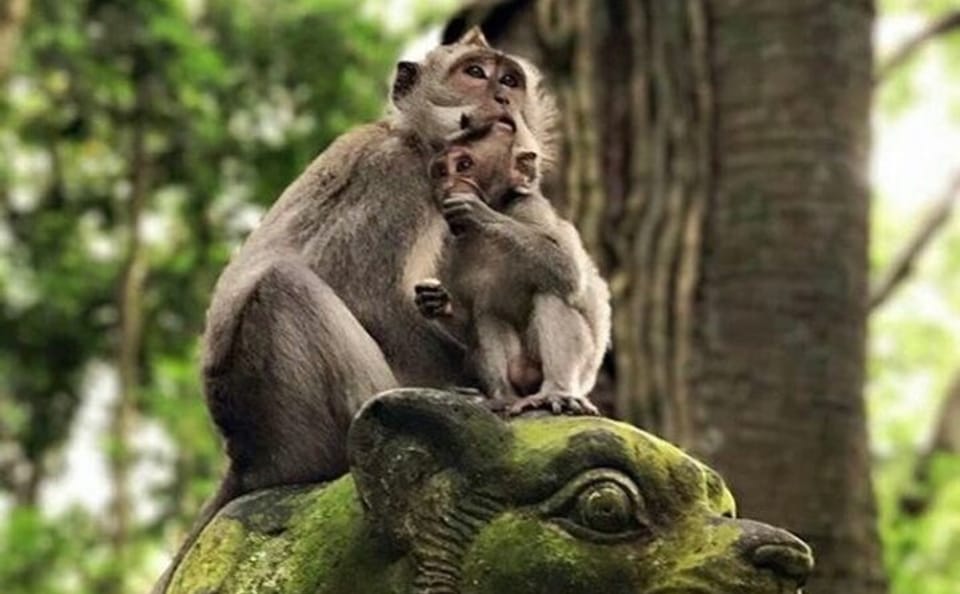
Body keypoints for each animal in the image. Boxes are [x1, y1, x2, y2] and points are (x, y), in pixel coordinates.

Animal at [152, 28, 559, 593]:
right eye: (474, 73)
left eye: (511, 79)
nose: (503, 99)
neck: (418, 141)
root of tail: (245, 457)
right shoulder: (396, 177)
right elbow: (369, 294)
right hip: (292, 420)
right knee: (285, 288)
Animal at [413, 119, 611, 416]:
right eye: (440, 172)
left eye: (464, 166)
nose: (447, 186)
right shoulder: (449, 246)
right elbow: (470, 316)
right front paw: (436, 301)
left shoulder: (530, 208)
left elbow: (568, 272)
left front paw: (479, 213)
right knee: (487, 313)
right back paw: (503, 397)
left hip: (579, 368)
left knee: (552, 291)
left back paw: (557, 392)